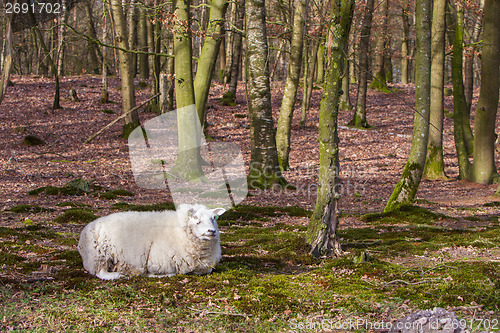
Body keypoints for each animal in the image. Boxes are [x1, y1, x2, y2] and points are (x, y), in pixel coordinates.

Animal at [77, 204, 225, 278]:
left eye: (213, 218)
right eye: (196, 219)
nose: (211, 231)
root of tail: (91, 225)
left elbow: (207, 270)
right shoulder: (157, 262)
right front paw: (154, 275)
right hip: (99, 255)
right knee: (100, 272)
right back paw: (117, 275)